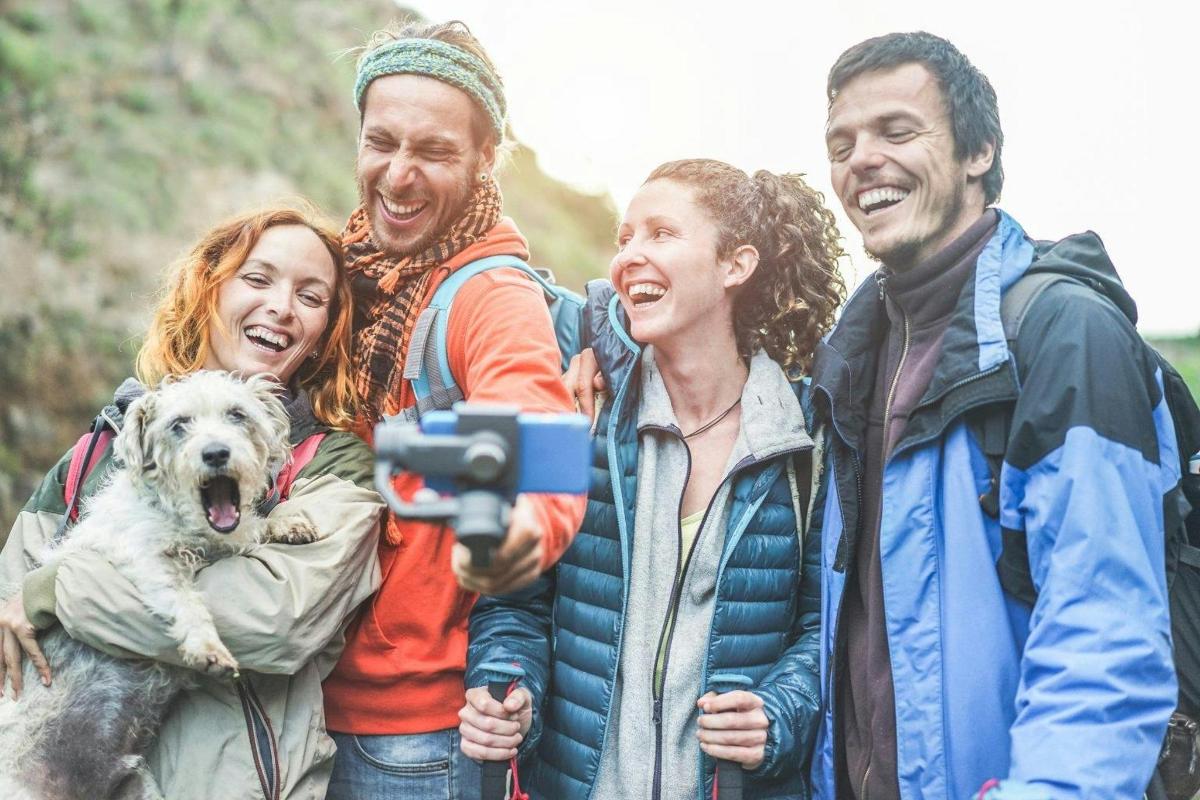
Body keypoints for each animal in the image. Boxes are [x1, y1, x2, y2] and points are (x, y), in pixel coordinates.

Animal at [0, 371, 321, 800]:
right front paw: (208, 648)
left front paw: (287, 522)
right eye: (179, 424)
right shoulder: (147, 560)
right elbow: (188, 602)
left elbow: (252, 526)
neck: (185, 521)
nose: (216, 453)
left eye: (237, 415)